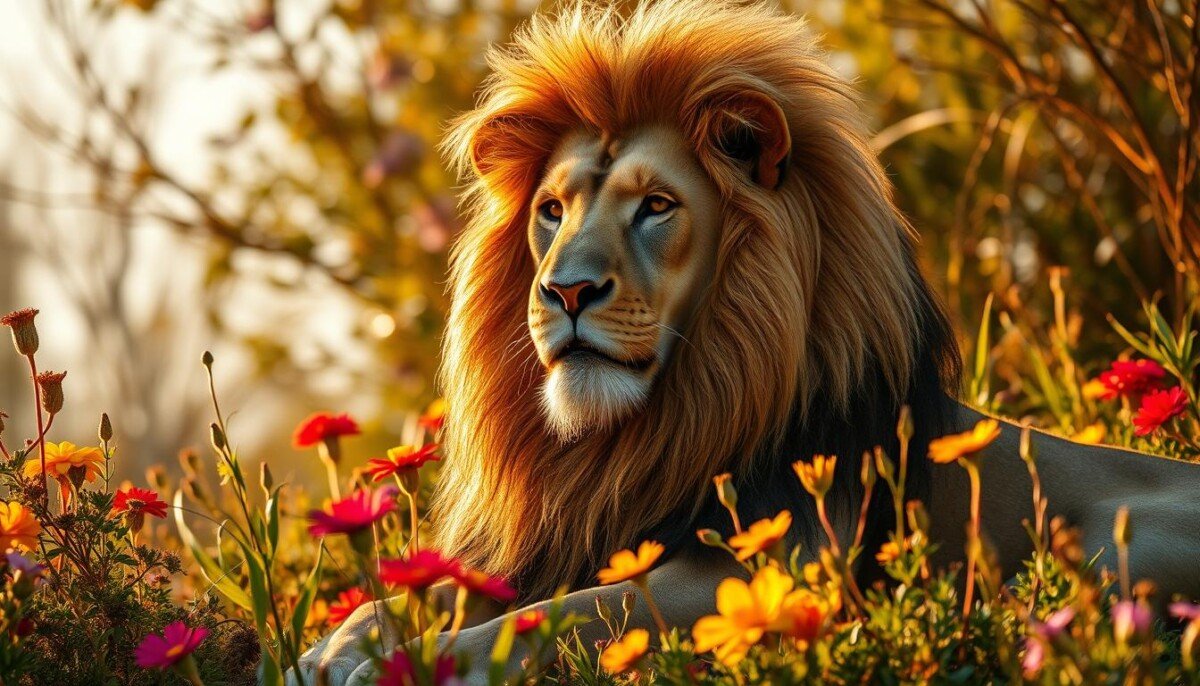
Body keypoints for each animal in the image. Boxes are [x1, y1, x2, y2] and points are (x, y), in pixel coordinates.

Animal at [291, 2, 1200, 683]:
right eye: (551, 210)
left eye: (656, 206)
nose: (566, 291)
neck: (644, 432)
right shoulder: (579, 536)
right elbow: (449, 590)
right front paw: (340, 643)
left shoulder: (762, 565)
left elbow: (571, 615)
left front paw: (418, 659)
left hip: (1116, 549)